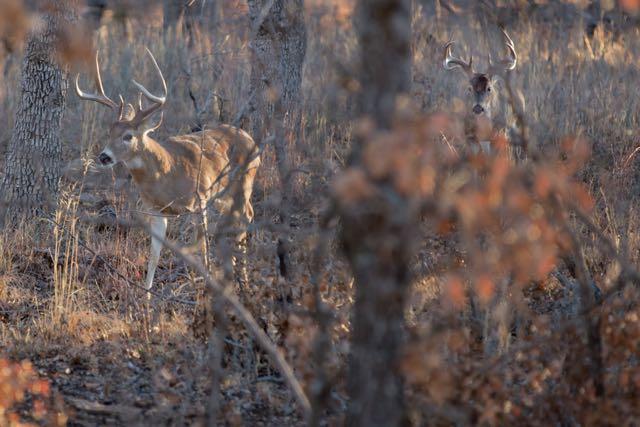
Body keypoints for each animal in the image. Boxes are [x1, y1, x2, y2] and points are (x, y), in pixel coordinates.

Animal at [76, 47, 262, 294]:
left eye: (128, 136)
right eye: (109, 132)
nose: (104, 156)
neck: (167, 173)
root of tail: (253, 141)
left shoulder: (200, 199)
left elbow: (202, 247)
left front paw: (206, 284)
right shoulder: (155, 209)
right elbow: (154, 255)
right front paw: (146, 294)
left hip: (244, 182)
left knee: (245, 217)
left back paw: (244, 279)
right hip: (225, 196)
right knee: (243, 216)